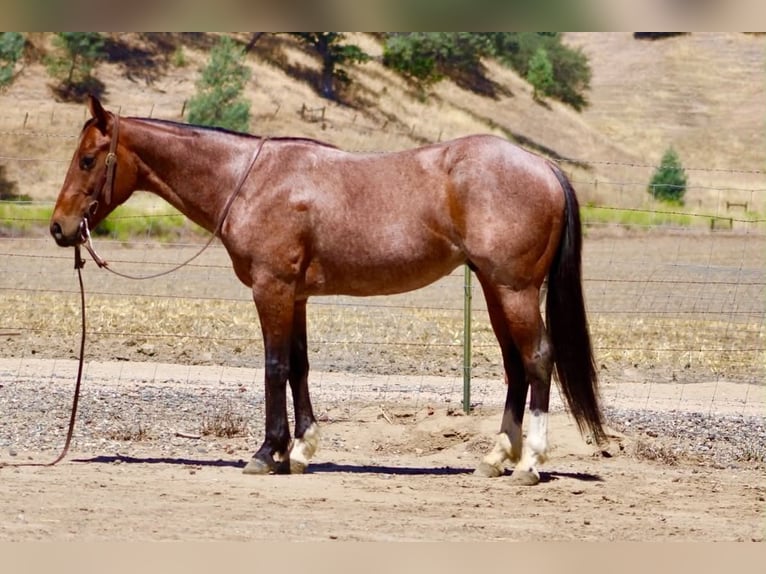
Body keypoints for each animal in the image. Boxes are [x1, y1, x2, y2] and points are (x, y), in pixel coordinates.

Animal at [50, 95, 605, 485]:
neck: (251, 180)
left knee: (538, 358)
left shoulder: (271, 289)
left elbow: (274, 367)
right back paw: (495, 458)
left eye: (87, 159)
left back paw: (529, 464)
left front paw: (266, 454)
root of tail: (542, 165)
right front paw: (299, 451)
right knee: (515, 365)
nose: (59, 228)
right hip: (495, 289)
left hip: (513, 289)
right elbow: (299, 366)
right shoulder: (294, 296)